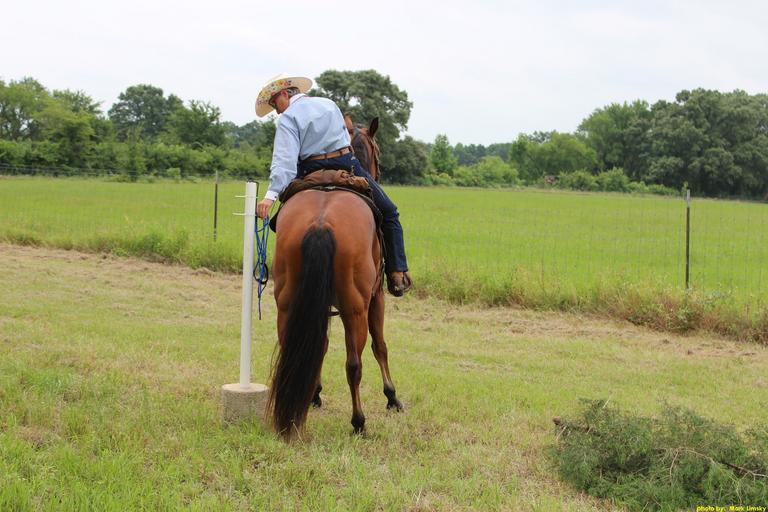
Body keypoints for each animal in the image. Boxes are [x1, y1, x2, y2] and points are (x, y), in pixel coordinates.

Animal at [267, 167, 403, 440]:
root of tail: (321, 222)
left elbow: (321, 346)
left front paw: (314, 394)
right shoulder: (376, 298)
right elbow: (380, 347)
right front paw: (391, 397)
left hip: (286, 306)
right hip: (355, 310)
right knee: (354, 365)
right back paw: (359, 422)